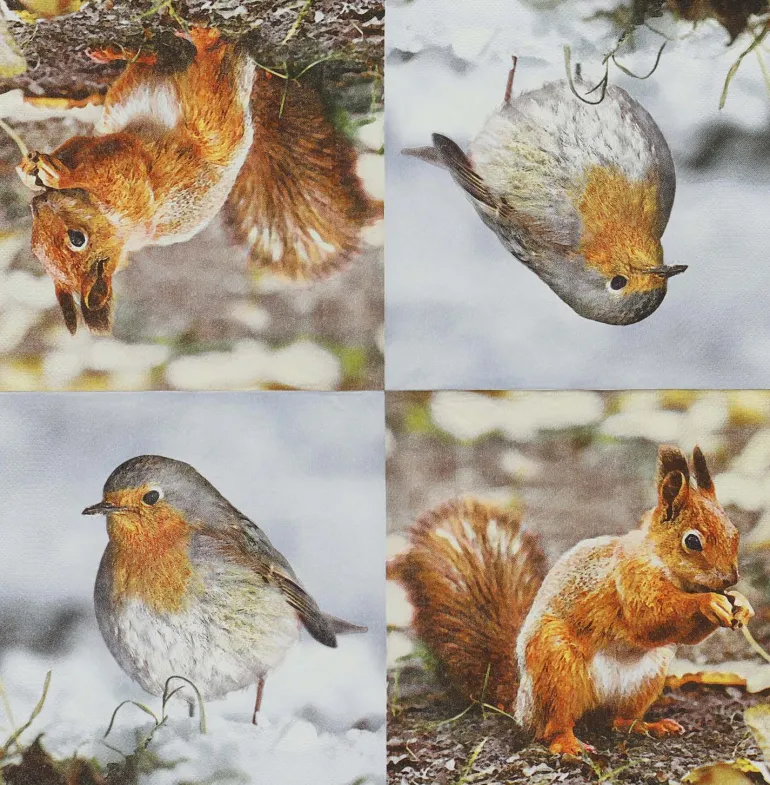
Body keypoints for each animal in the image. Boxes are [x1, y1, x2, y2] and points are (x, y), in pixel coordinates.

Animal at [17, 27, 380, 335]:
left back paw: (195, 41)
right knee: (167, 64)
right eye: (35, 251)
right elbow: (74, 145)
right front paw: (28, 171)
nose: (37, 204)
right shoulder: (93, 146)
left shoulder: (127, 179)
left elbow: (102, 167)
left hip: (209, 113)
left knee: (205, 69)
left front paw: (56, 174)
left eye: (77, 239)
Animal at [388, 445, 755, 757]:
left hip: (647, 676)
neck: (660, 561)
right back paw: (568, 744)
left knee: (620, 720)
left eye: (734, 531)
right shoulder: (630, 580)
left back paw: (648, 726)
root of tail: (521, 701)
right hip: (557, 668)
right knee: (552, 725)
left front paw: (742, 605)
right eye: (692, 541)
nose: (730, 579)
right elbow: (650, 617)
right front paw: (709, 602)